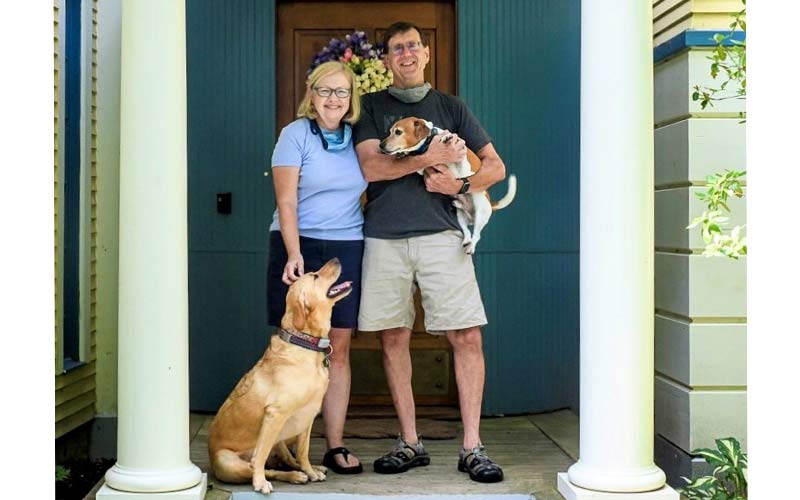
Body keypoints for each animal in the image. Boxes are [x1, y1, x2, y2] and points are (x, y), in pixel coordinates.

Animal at [208, 260, 352, 494]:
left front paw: (310, 471)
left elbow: (302, 451)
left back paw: (310, 470)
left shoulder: (307, 415)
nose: (337, 259)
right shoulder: (275, 414)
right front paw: (259, 483)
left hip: (281, 438)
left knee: (286, 459)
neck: (305, 343)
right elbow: (260, 457)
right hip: (230, 461)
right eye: (314, 276)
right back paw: (289, 476)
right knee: (266, 468)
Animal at [382, 117, 520, 254]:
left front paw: (446, 137)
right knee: (467, 231)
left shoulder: (461, 163)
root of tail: (490, 204)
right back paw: (461, 219)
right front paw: (403, 154)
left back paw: (471, 247)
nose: (381, 145)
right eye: (390, 131)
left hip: (481, 214)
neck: (428, 142)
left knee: (477, 235)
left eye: (398, 132)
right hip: (460, 217)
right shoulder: (423, 167)